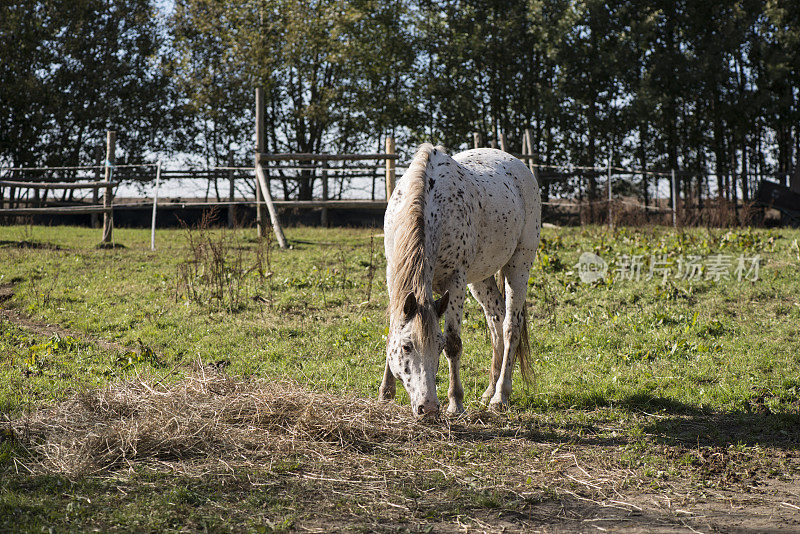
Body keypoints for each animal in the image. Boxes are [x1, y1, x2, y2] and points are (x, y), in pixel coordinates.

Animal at [378, 144, 540, 420]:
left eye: (438, 346)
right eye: (407, 347)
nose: (428, 408)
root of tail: (519, 165)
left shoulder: (455, 280)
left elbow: (454, 343)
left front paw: (455, 403)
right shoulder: (393, 276)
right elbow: (392, 332)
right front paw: (385, 394)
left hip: (519, 265)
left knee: (511, 326)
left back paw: (500, 396)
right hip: (481, 279)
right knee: (496, 320)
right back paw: (488, 391)